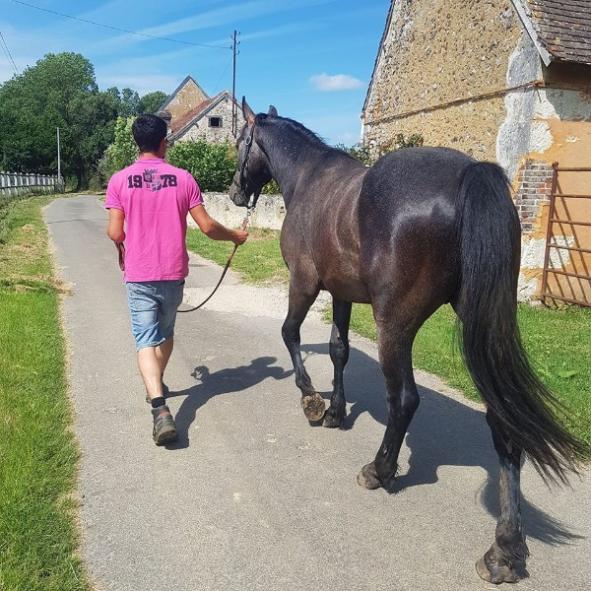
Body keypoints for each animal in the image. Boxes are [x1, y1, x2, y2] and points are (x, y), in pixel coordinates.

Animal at [228, 100, 588, 584]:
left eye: (240, 141)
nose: (234, 194)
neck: (309, 179)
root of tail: (468, 174)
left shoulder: (304, 283)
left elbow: (289, 333)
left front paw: (312, 402)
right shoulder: (342, 293)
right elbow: (339, 349)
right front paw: (335, 412)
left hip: (395, 323)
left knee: (404, 399)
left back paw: (379, 470)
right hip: (481, 326)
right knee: (503, 420)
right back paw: (505, 549)